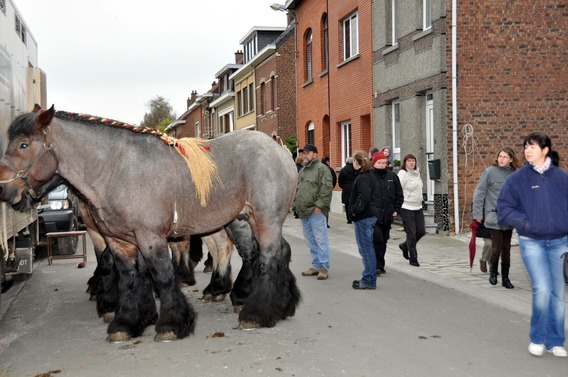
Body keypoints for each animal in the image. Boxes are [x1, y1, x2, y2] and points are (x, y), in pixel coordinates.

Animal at [0, 106, 302, 340]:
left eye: (24, 144)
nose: (4, 189)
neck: (116, 169)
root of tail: (280, 150)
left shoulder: (150, 237)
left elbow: (163, 276)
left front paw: (170, 324)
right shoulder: (120, 241)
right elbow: (131, 278)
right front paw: (128, 321)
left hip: (264, 218)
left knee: (266, 257)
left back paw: (256, 312)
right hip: (246, 219)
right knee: (271, 252)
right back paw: (281, 303)